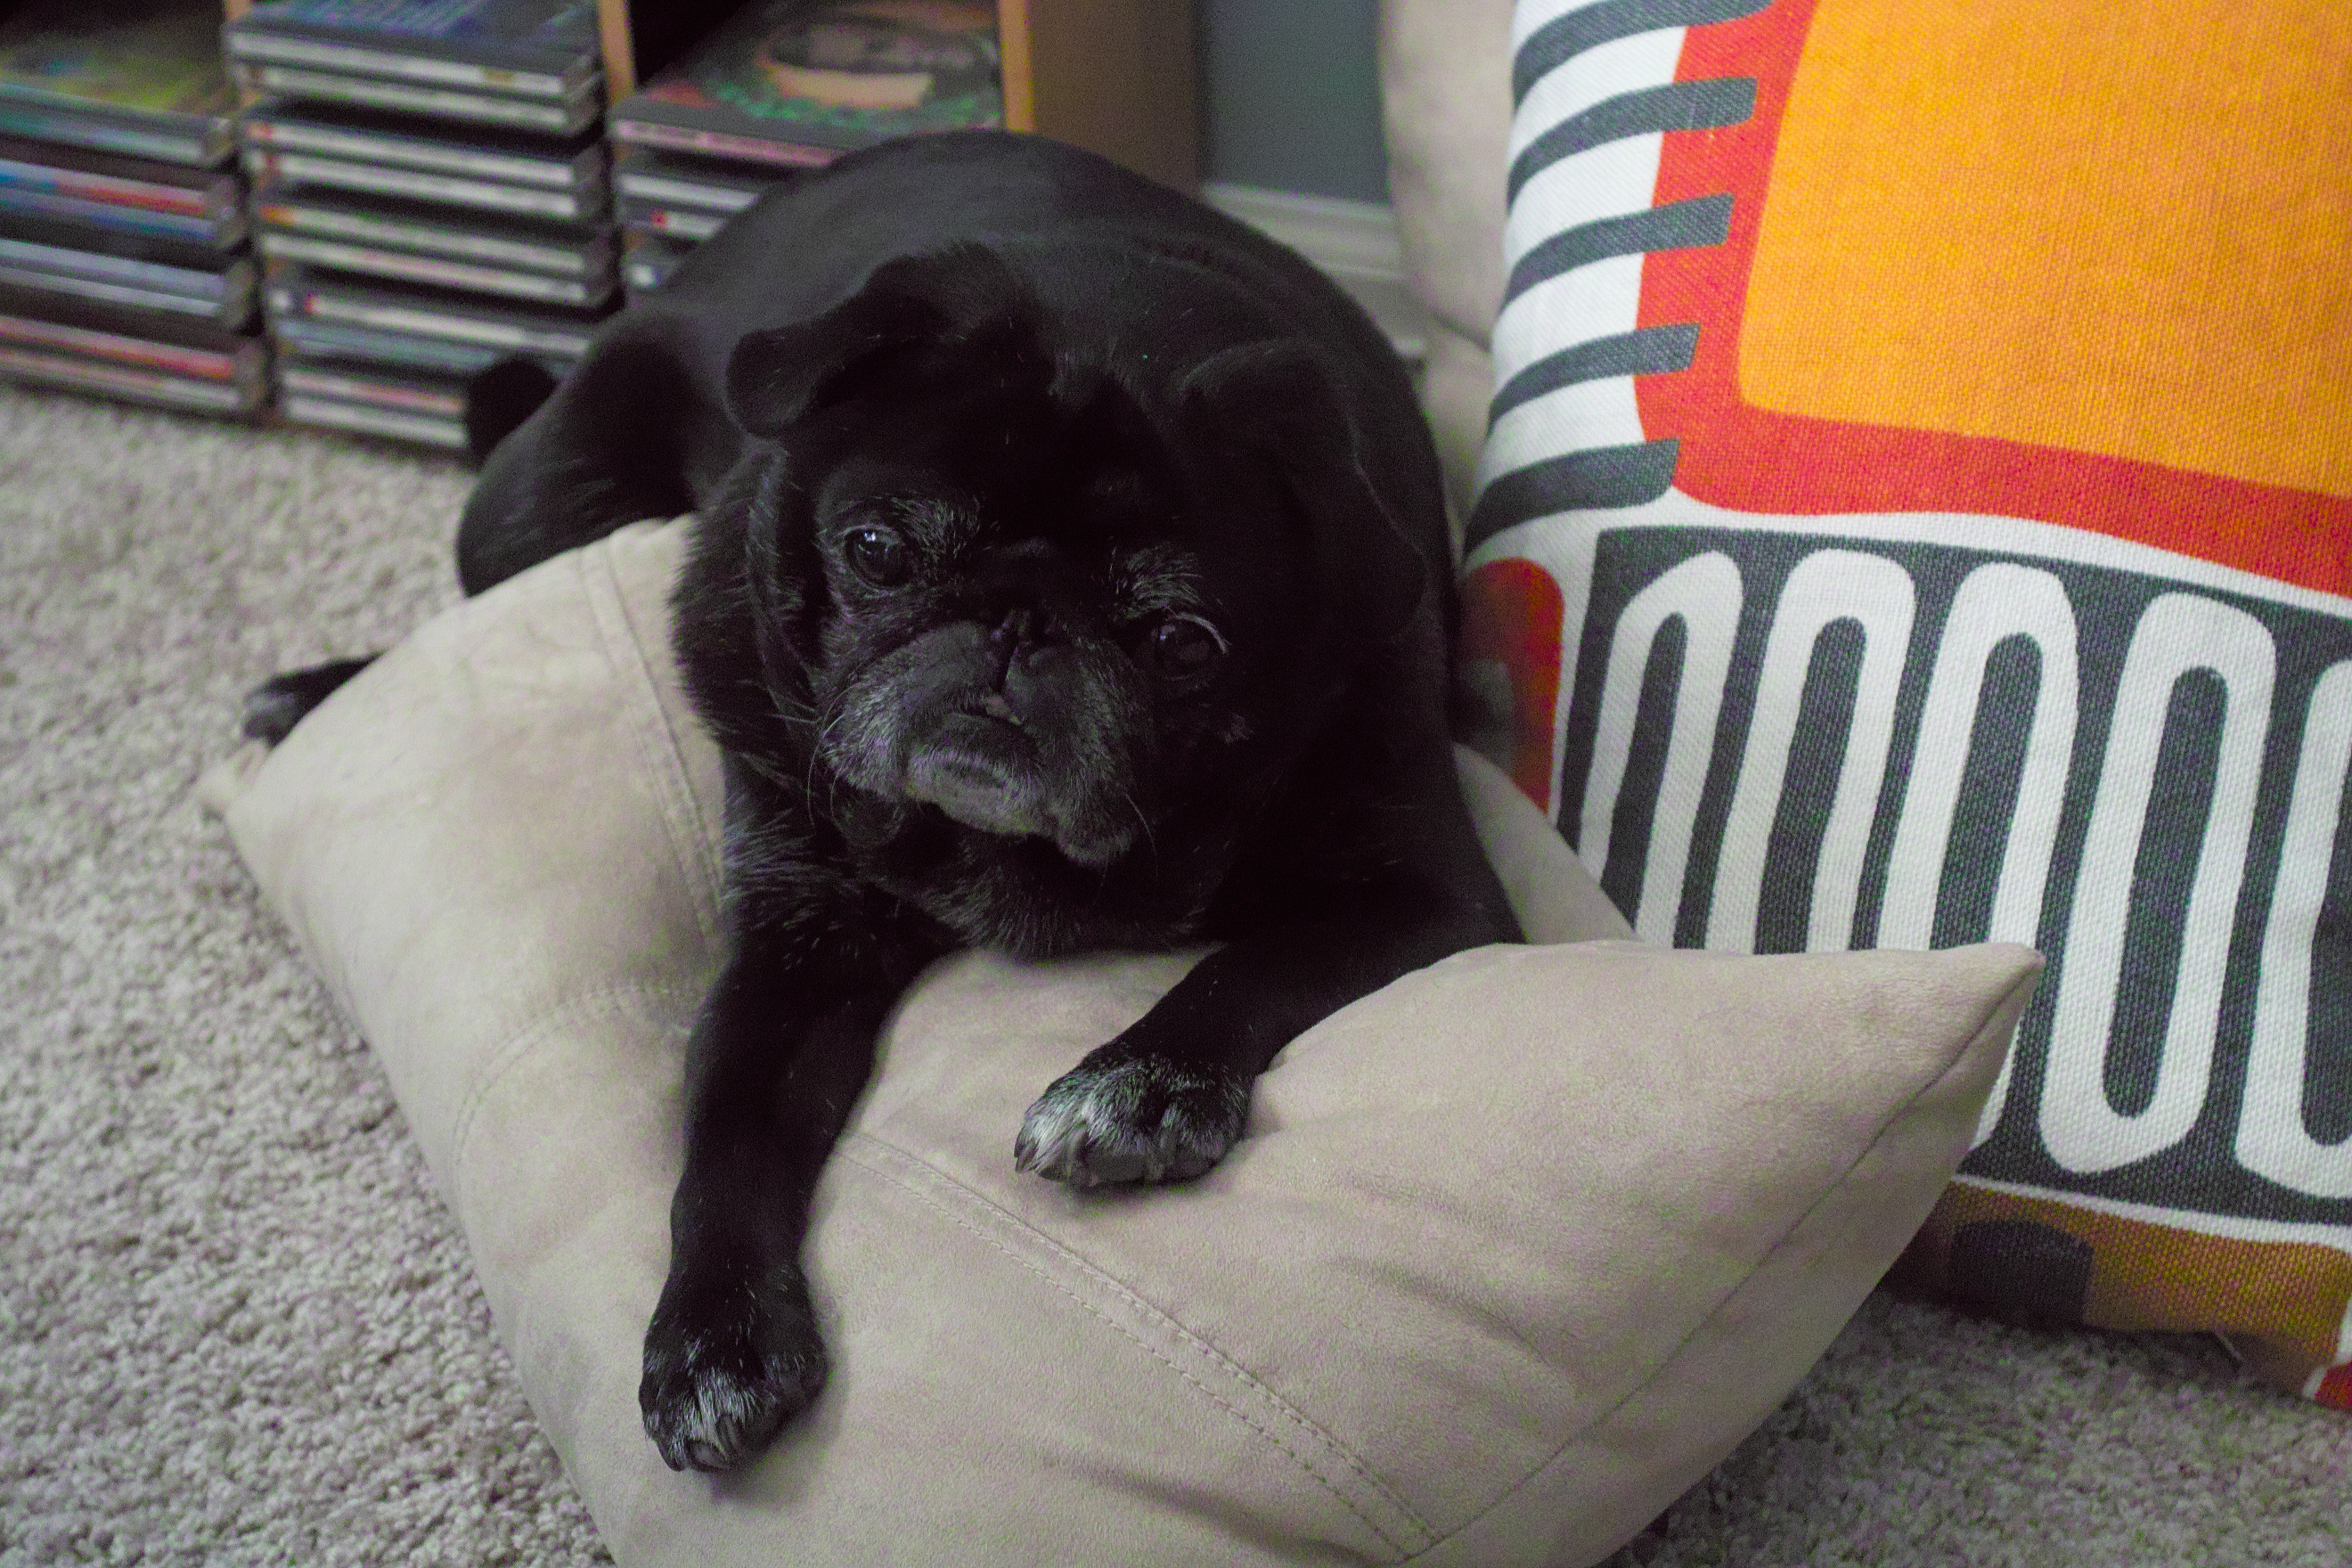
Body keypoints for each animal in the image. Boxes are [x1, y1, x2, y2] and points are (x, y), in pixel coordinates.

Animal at [247, 129, 1520, 1474]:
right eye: (877, 552)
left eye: (1183, 643)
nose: (1017, 624)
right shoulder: (793, 948)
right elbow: (726, 1136)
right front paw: (714, 1337)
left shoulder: (1423, 890)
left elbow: (1251, 966)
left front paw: (1139, 1085)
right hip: (530, 505)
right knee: (461, 607)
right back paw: (313, 689)